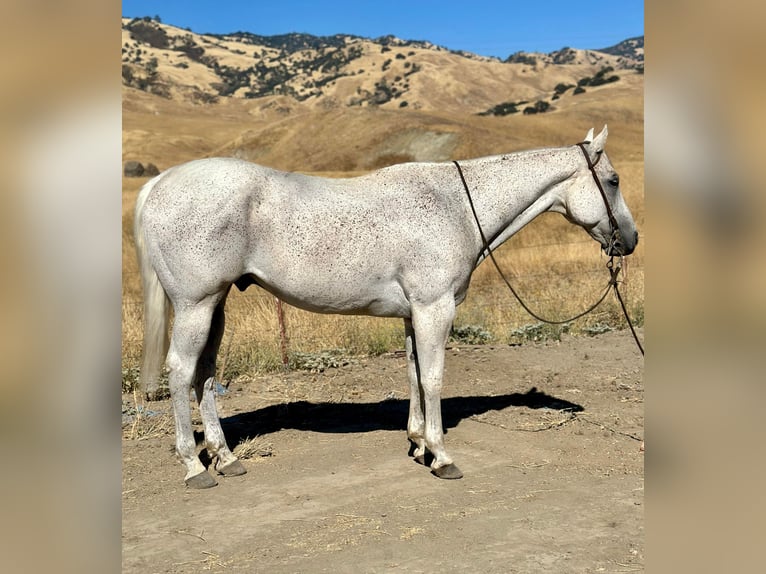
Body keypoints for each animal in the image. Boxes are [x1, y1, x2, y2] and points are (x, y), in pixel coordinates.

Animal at [135, 127, 640, 490]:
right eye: (613, 181)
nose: (631, 240)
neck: (455, 205)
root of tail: (159, 184)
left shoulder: (414, 315)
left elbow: (414, 375)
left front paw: (418, 445)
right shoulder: (435, 309)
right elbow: (433, 379)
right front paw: (442, 456)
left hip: (215, 304)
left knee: (203, 375)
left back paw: (226, 459)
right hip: (196, 305)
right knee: (180, 371)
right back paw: (195, 467)